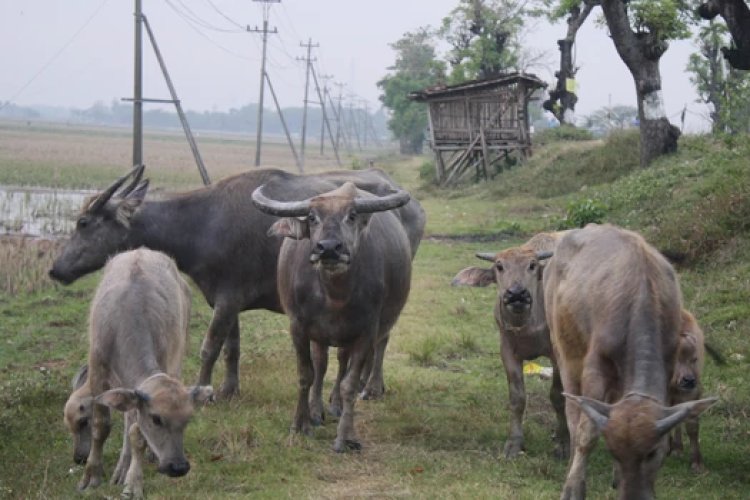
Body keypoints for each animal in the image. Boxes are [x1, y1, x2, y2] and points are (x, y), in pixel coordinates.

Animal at [50, 166, 426, 400]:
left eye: (84, 222)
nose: (55, 269)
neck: (202, 224)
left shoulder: (228, 299)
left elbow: (209, 347)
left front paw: (201, 390)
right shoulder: (226, 299)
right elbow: (232, 347)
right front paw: (230, 389)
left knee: (382, 337)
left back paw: (371, 386)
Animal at [78, 248, 213, 498]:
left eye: (188, 418)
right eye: (156, 418)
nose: (178, 467)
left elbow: (137, 433)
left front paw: (133, 482)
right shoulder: (97, 371)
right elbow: (101, 426)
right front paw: (92, 474)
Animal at [253, 182, 418, 452]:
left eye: (351, 216)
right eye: (312, 217)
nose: (329, 248)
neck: (334, 295)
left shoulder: (365, 332)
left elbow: (349, 383)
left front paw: (345, 436)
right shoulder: (298, 327)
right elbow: (306, 374)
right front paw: (300, 424)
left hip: (377, 325)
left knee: (366, 353)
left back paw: (361, 393)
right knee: (322, 364)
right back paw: (317, 410)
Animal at [450, 232, 568, 458]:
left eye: (532, 265)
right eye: (499, 266)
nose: (516, 294)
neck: (527, 325)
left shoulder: (558, 354)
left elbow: (558, 396)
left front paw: (562, 443)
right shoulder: (507, 352)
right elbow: (517, 398)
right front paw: (514, 443)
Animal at [544, 224, 720, 500]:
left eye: (654, 452)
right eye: (613, 452)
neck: (641, 299)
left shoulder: (669, 364)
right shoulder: (595, 368)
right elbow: (587, 431)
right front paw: (574, 487)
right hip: (565, 353)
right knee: (573, 414)